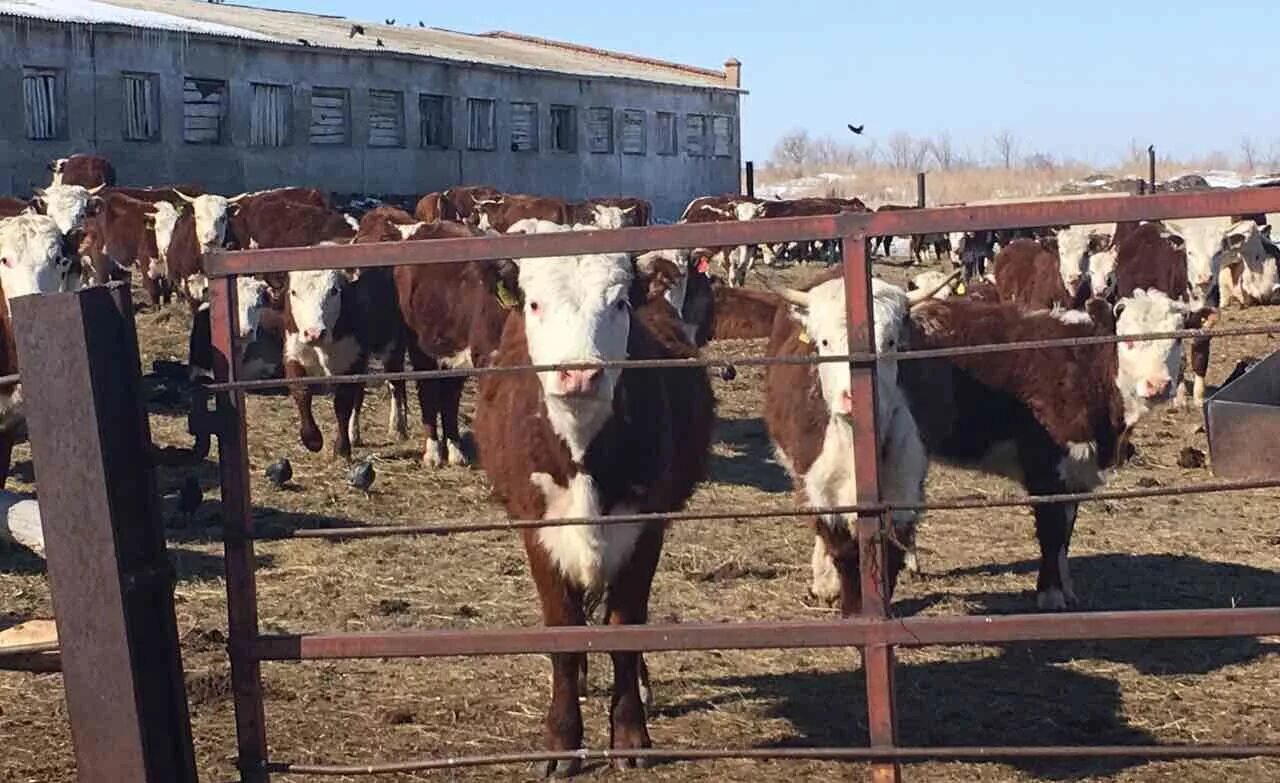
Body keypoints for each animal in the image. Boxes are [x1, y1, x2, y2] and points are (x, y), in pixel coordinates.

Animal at [473, 227, 716, 777]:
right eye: (535, 303)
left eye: (620, 302)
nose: (580, 375)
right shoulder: (538, 531)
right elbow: (563, 632)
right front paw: (562, 742)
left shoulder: (644, 528)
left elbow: (626, 627)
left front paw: (629, 736)